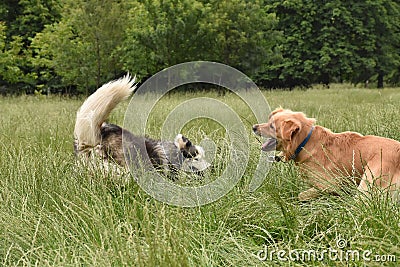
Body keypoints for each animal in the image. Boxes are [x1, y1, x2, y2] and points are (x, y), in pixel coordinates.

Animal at [253, 108, 400, 201]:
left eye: (272, 126)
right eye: (269, 122)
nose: (254, 127)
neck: (305, 142)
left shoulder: (330, 184)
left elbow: (302, 195)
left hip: (366, 186)